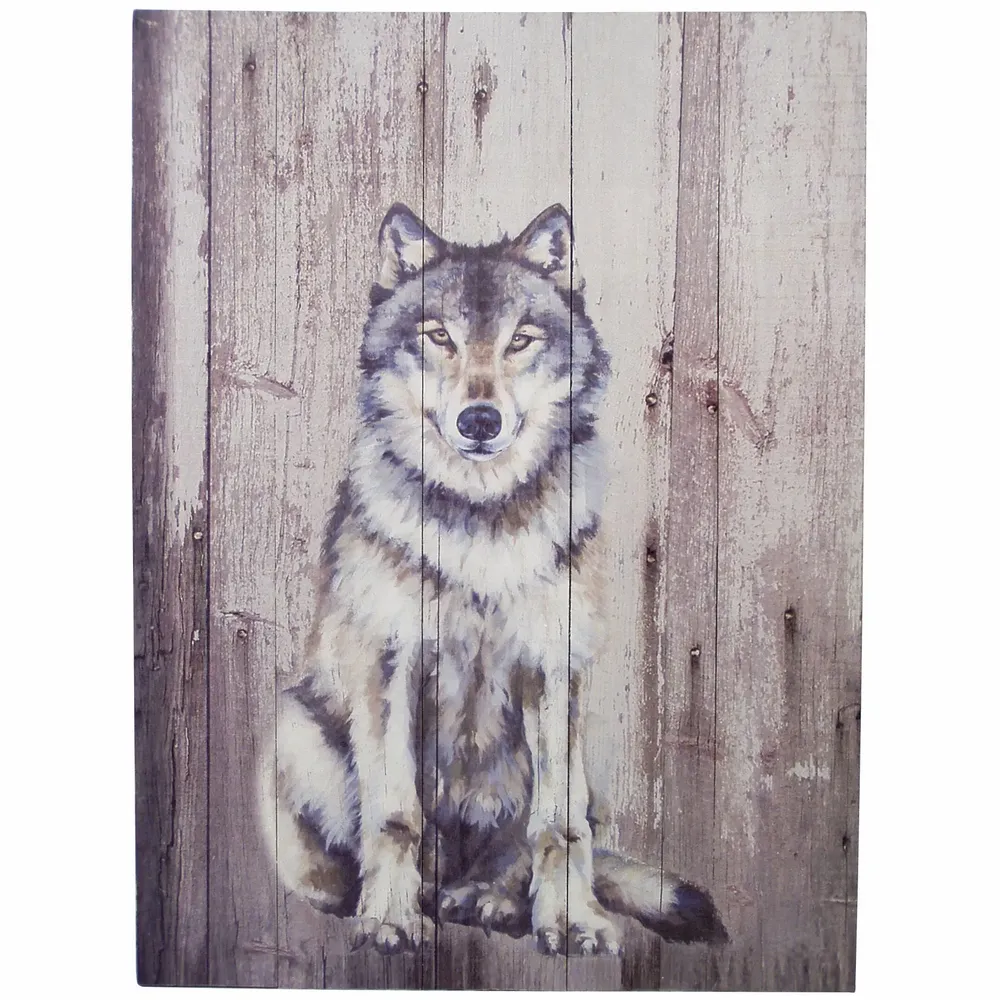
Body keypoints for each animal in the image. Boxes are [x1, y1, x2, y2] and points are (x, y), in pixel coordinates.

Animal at [259, 203, 728, 956]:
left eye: (520, 341)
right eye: (439, 337)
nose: (480, 419)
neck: (479, 520)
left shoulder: (554, 667)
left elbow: (560, 826)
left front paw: (570, 921)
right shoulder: (388, 661)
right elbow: (394, 815)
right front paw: (388, 918)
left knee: (530, 846)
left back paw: (490, 901)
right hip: (297, 727)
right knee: (335, 864)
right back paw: (397, 898)